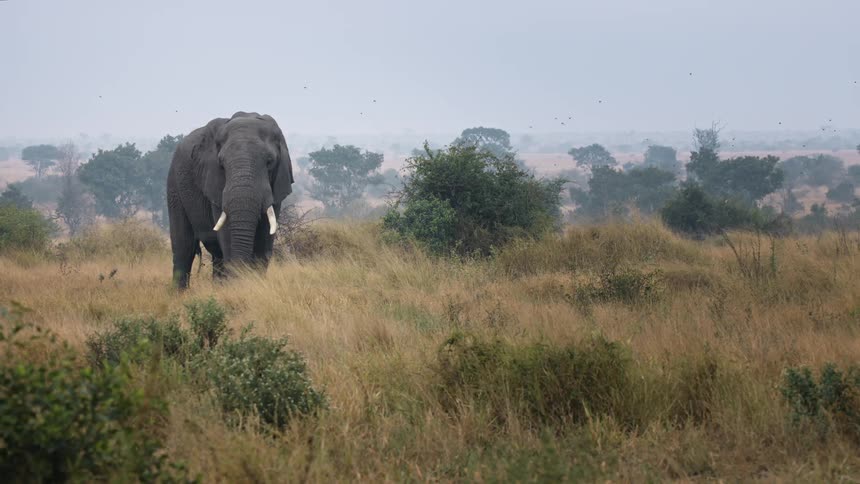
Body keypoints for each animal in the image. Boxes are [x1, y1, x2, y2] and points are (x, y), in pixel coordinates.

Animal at [167, 111, 294, 289]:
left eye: (270, 162)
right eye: (221, 164)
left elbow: (265, 239)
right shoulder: (215, 183)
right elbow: (226, 234)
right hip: (174, 183)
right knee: (184, 247)